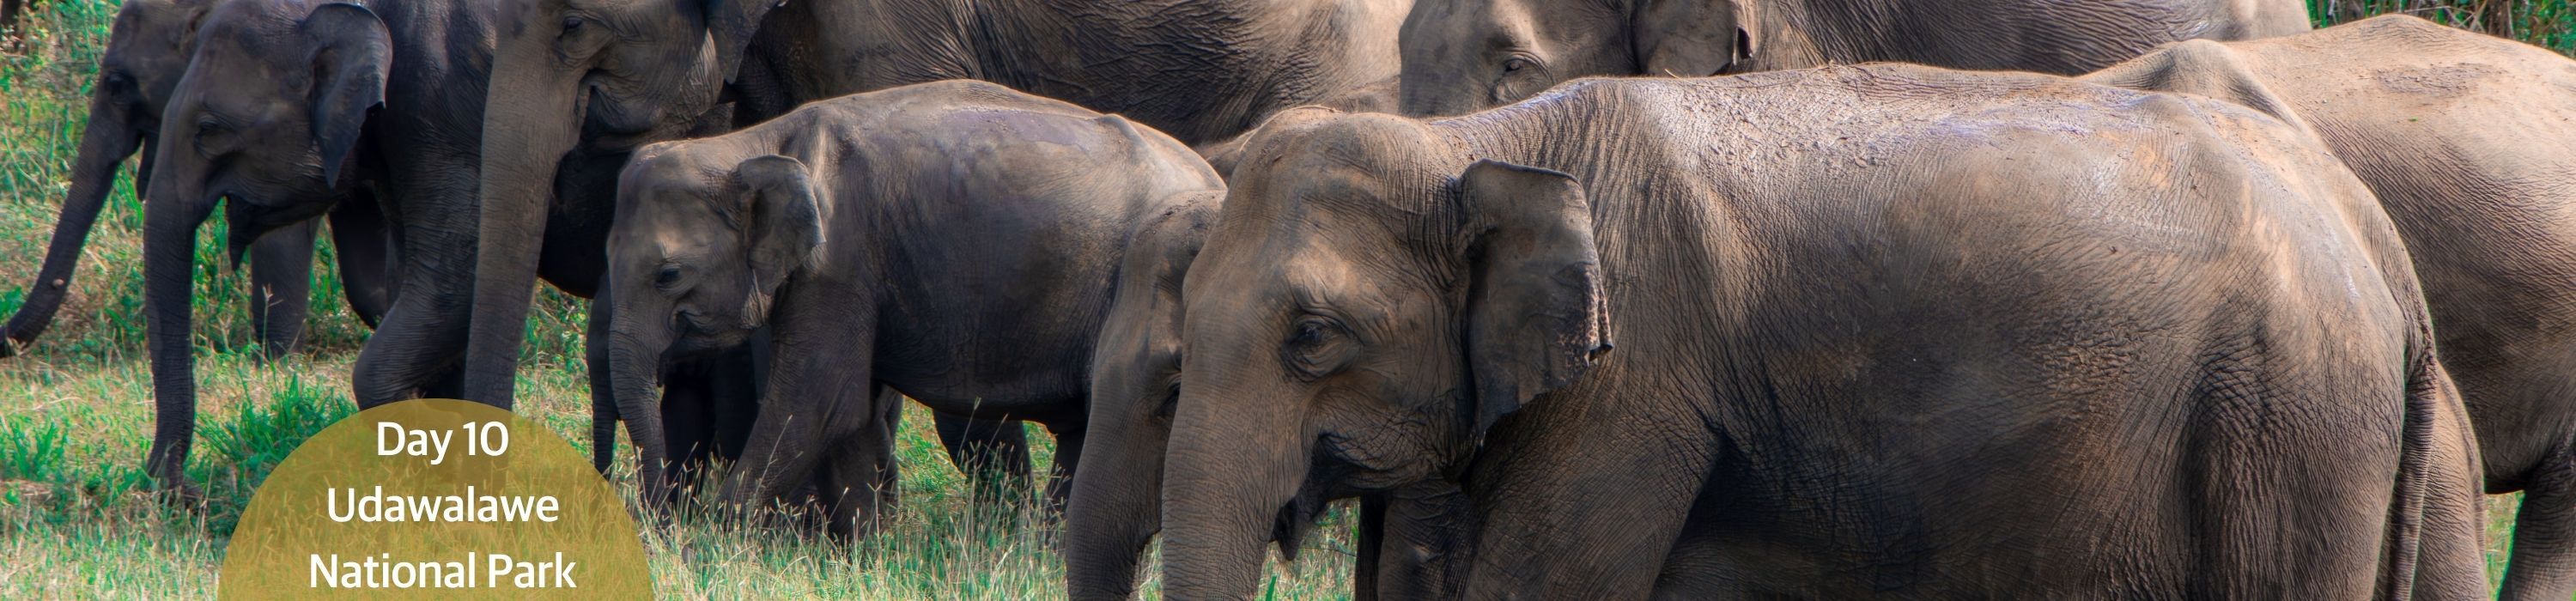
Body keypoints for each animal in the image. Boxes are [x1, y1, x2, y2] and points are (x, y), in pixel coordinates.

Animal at [599, 80, 1224, 538]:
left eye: (668, 275)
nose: (657, 524)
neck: (753, 144)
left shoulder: (840, 261)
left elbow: (819, 400)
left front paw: (711, 537)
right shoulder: (855, 276)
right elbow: (854, 411)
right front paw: (864, 553)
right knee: (1080, 433)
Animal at [1157, 66, 2488, 598]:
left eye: (1312, 336)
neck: (1477, 139)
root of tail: (2374, 238)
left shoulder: (1632, 388)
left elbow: (1536, 586)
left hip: (2287, 425)